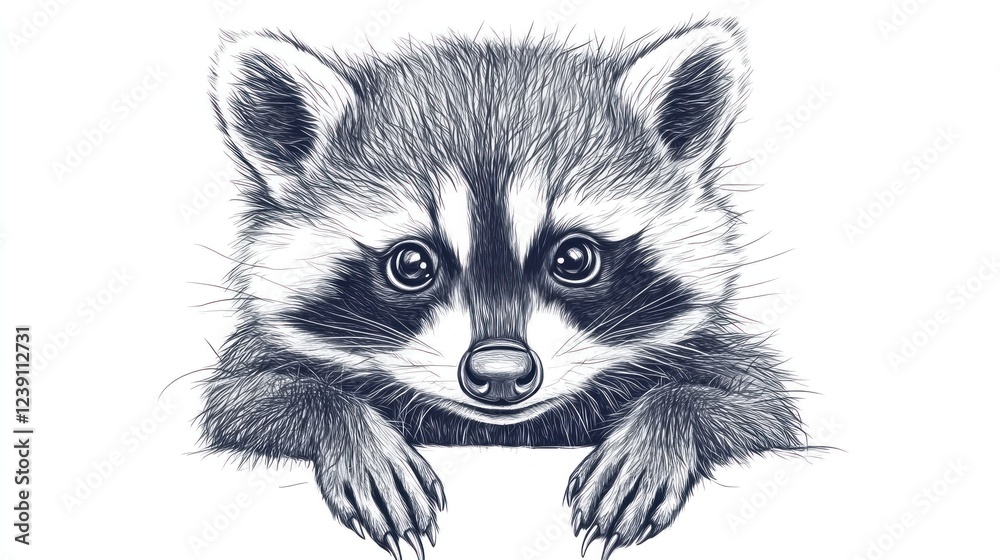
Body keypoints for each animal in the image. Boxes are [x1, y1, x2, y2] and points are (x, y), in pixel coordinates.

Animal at [198, 17, 805, 559]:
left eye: (574, 258)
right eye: (412, 264)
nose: (500, 374)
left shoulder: (718, 357)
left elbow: (759, 408)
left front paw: (664, 421)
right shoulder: (252, 368)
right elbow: (245, 398)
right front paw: (345, 422)